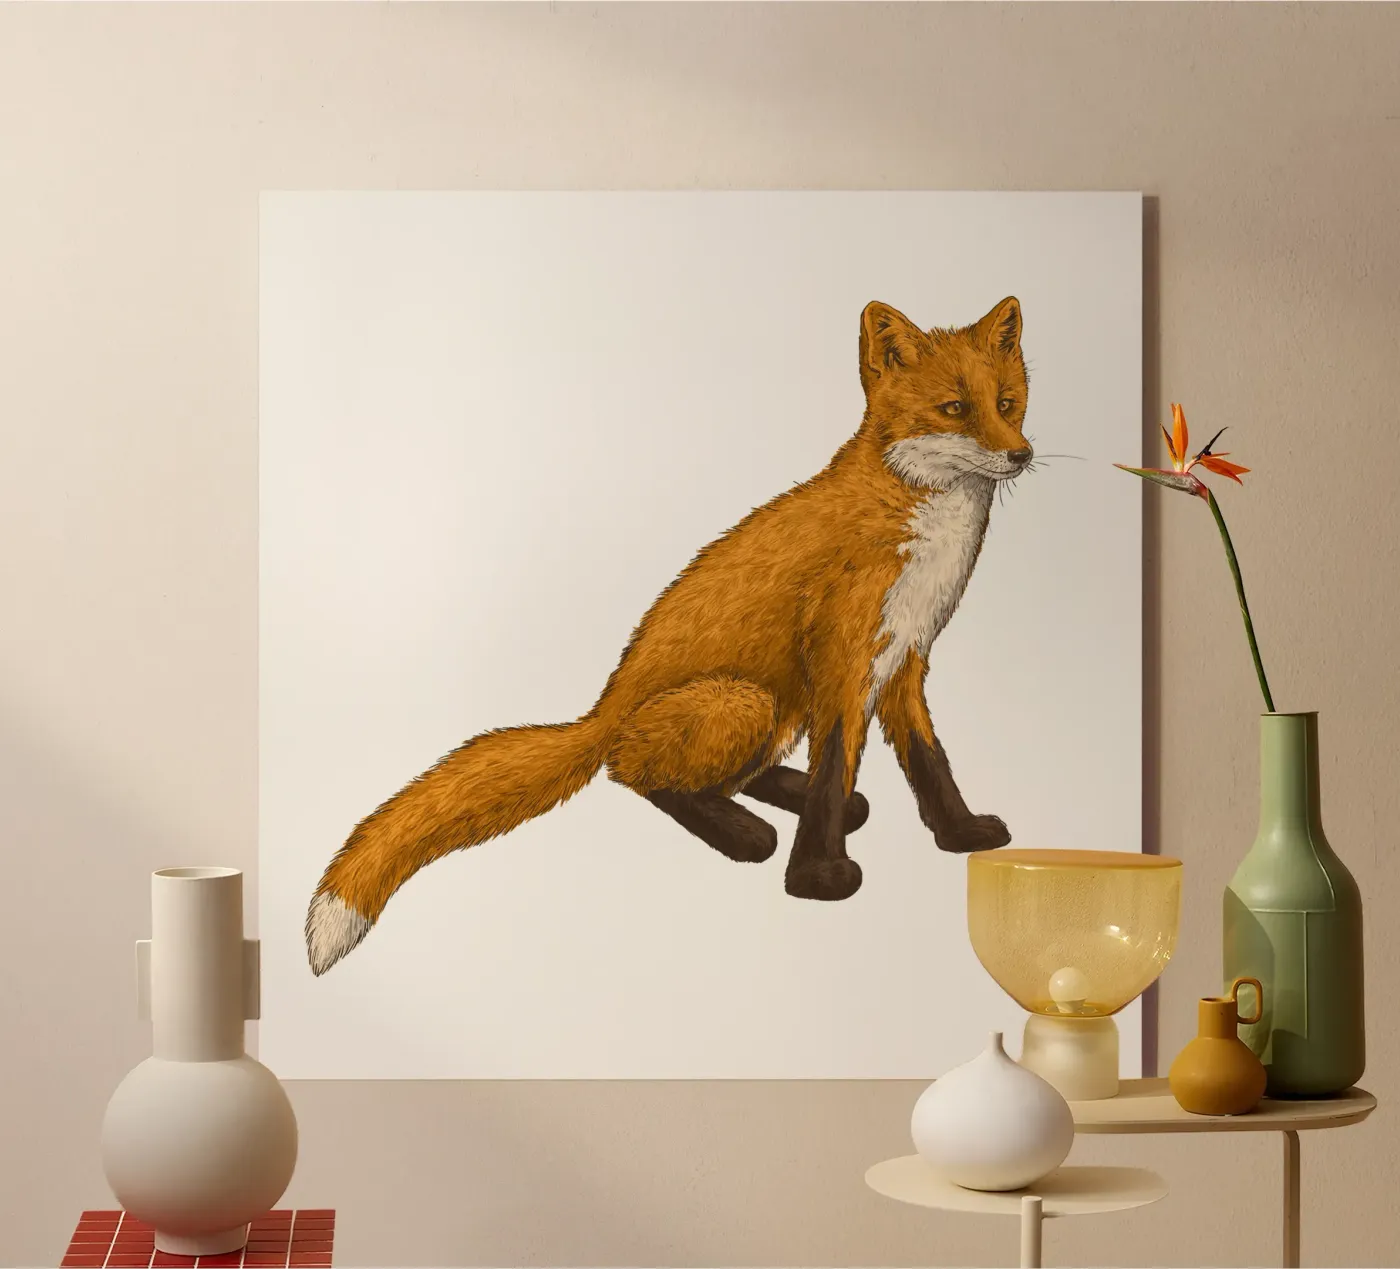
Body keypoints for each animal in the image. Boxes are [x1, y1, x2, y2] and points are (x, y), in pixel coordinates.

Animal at [305, 296, 1033, 976]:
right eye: (953, 408)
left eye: (1007, 403)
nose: (1022, 454)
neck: (914, 521)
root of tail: (604, 710)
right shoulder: (844, 658)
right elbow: (834, 769)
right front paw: (818, 878)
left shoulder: (904, 658)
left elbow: (929, 761)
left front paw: (963, 834)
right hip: (743, 701)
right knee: (638, 774)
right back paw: (747, 834)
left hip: (775, 710)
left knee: (720, 774)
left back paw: (778, 799)